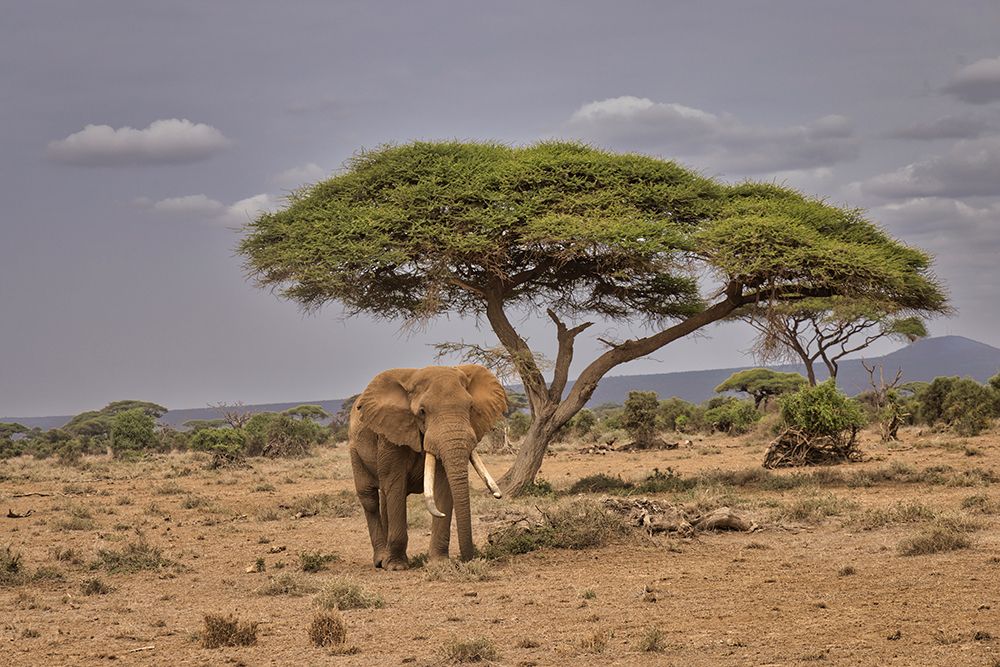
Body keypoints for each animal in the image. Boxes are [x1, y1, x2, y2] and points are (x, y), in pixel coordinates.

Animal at [349, 364, 507, 569]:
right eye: (422, 411)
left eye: (471, 408)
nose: (469, 559)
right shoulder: (390, 434)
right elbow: (396, 484)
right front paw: (397, 567)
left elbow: (443, 484)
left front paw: (439, 563)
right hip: (355, 450)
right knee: (370, 499)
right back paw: (380, 560)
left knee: (384, 496)